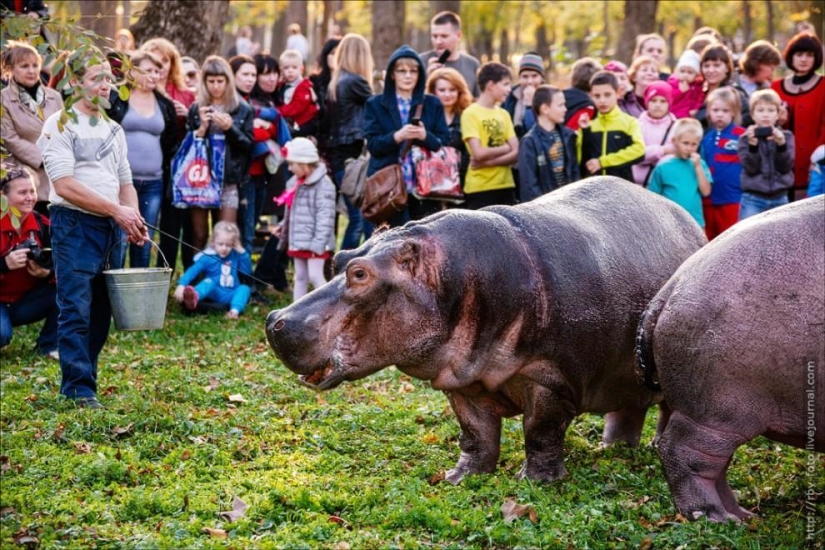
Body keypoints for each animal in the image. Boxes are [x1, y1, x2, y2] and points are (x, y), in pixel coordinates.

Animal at [268, 179, 704, 486]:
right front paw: (459, 478)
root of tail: (685, 218)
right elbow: (475, 434)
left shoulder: (547, 378)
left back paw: (652, 446)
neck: (450, 277)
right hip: (621, 372)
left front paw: (535, 483)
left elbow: (540, 432)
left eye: (360, 275)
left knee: (667, 407)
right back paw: (612, 448)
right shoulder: (461, 379)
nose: (275, 321)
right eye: (340, 258)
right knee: (628, 407)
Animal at [636, 196, 824, 524]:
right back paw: (715, 517)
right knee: (681, 453)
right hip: (716, 413)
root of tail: (670, 289)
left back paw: (742, 516)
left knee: (713, 466)